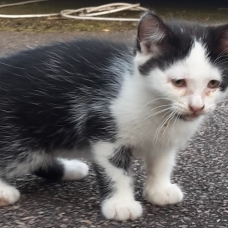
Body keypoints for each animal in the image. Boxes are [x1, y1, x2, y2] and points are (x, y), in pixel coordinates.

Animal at [0, 12, 228, 221]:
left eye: (213, 84)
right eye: (178, 82)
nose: (196, 107)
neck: (157, 108)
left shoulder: (165, 139)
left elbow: (162, 162)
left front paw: (159, 190)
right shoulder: (104, 130)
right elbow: (116, 172)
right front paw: (121, 204)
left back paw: (70, 168)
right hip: (18, 136)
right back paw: (5, 191)